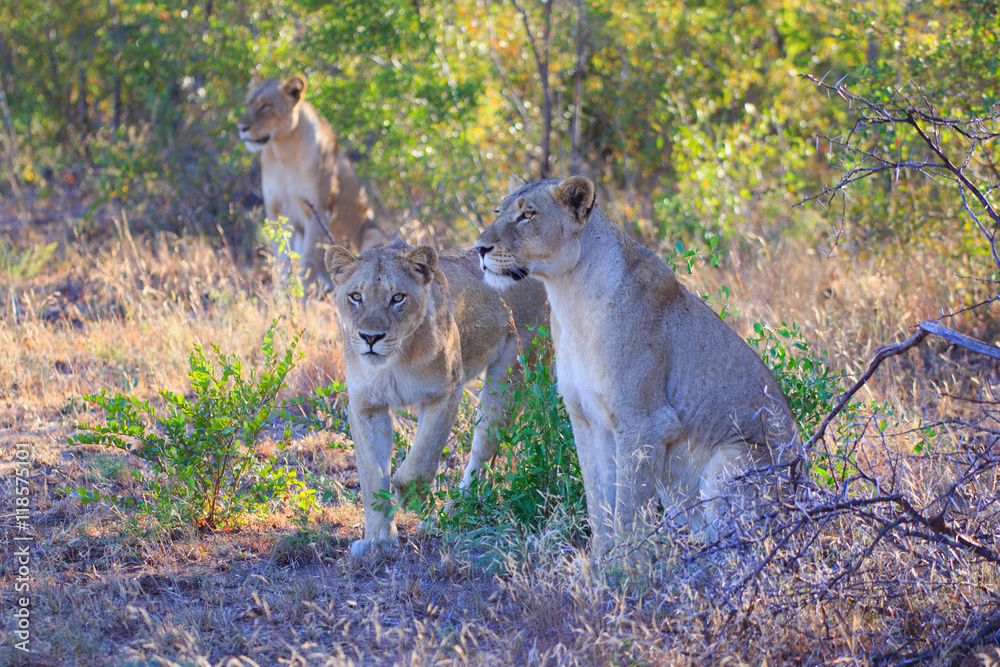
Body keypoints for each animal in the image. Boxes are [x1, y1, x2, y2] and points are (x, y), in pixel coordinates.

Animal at [239, 74, 385, 288]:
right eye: (247, 104)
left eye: (265, 107)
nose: (241, 128)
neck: (284, 151)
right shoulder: (275, 211)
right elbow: (282, 260)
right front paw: (282, 292)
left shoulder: (318, 212)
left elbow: (307, 266)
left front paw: (301, 296)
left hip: (374, 234)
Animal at [325, 240, 548, 557]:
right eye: (356, 296)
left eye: (397, 298)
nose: (370, 338)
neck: (395, 360)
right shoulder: (366, 407)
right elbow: (371, 476)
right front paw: (378, 541)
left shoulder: (446, 391)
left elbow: (422, 458)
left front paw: (411, 496)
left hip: (512, 369)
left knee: (483, 450)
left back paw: (454, 512)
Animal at [474, 176, 802, 556]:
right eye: (498, 211)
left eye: (527, 214)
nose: (479, 248)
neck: (569, 298)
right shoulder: (585, 419)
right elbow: (598, 500)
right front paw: (601, 559)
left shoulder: (644, 422)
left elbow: (628, 507)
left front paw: (626, 563)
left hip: (731, 460)